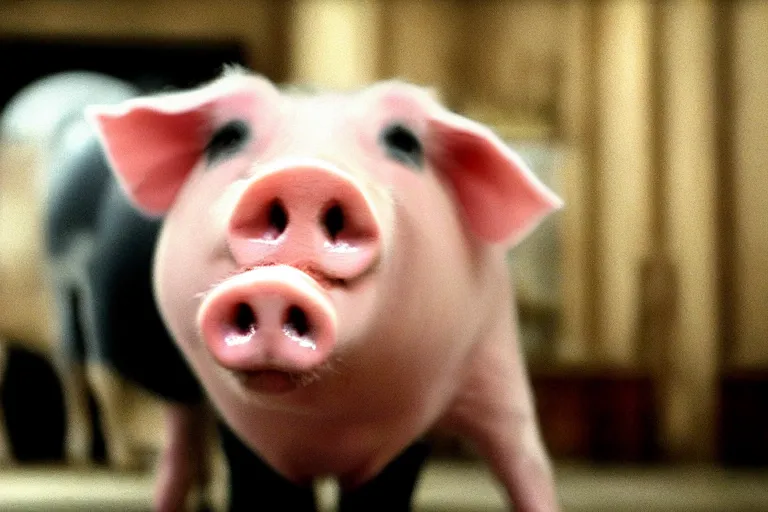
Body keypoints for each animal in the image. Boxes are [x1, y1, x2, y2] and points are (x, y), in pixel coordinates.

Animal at [90, 68, 560, 512]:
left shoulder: (416, 426)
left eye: (404, 142)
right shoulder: (246, 432)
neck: (326, 427)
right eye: (226, 139)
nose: (306, 177)